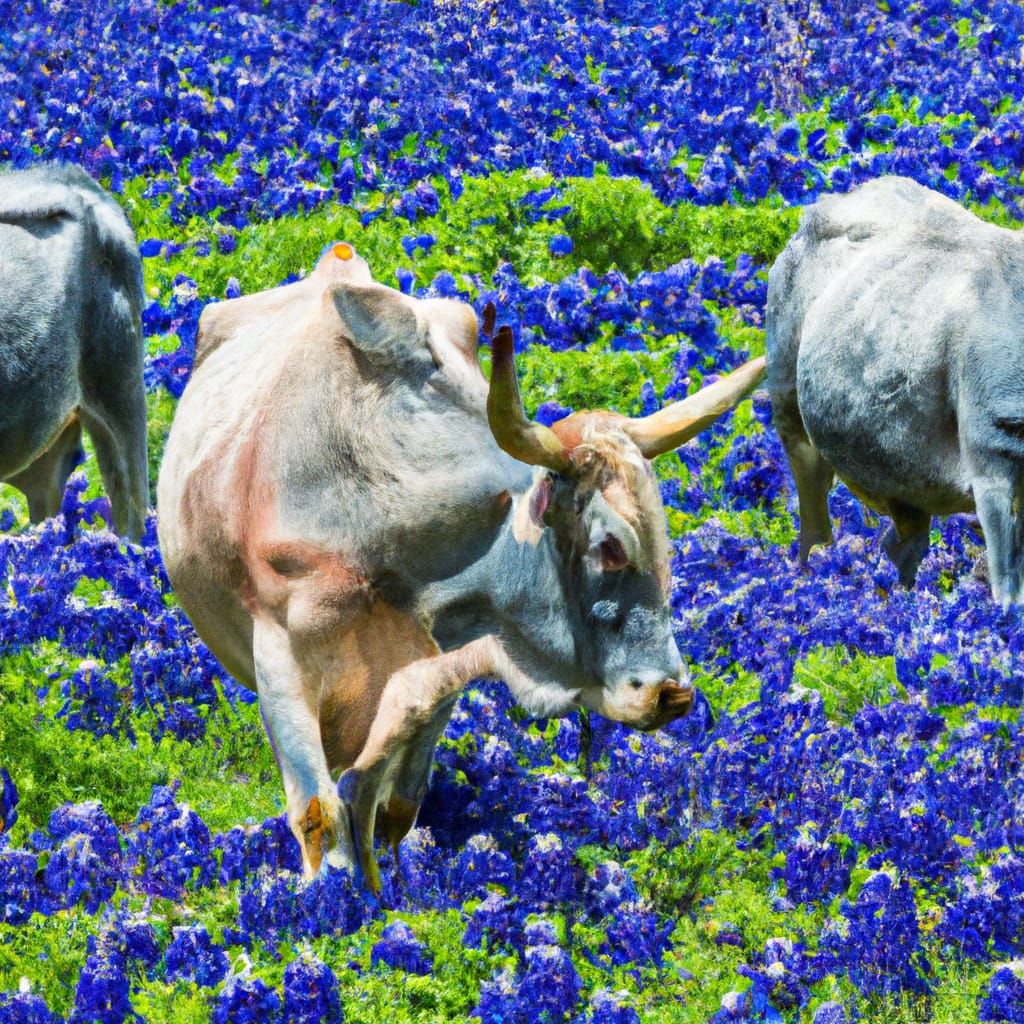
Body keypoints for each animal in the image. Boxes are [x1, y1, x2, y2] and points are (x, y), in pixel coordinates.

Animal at [157, 242, 765, 890]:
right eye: (610, 545)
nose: (671, 694)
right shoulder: (278, 655)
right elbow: (319, 813)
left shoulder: (440, 672)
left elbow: (390, 807)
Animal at [767, 175, 1024, 605]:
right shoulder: (993, 473)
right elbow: (1008, 589)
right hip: (788, 400)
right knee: (813, 504)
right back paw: (810, 571)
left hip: (901, 481)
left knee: (903, 544)